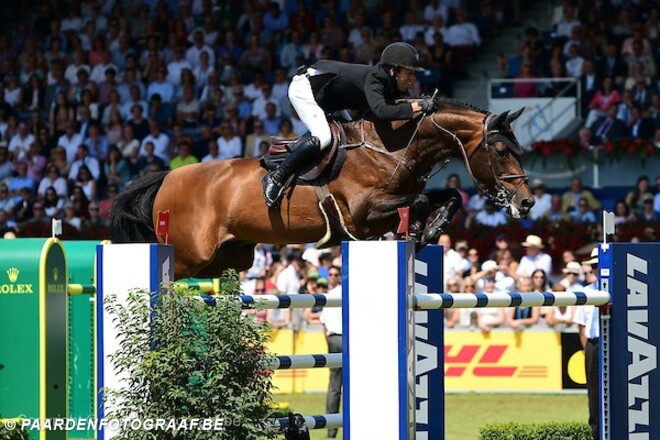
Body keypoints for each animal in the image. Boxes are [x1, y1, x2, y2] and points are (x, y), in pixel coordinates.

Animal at [111, 99, 534, 278]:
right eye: (500, 151)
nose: (527, 201)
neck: (391, 148)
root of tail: (167, 178)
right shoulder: (363, 214)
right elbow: (417, 200)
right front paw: (425, 227)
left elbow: (448, 196)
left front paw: (428, 230)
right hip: (189, 255)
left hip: (229, 258)